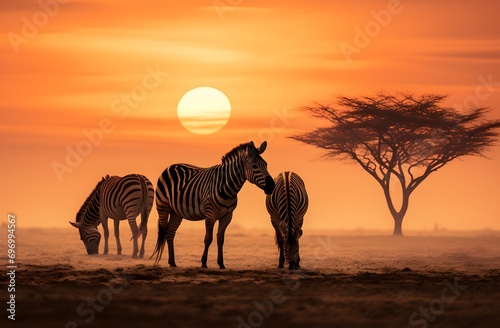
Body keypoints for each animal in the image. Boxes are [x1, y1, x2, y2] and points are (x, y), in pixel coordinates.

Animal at [152, 142, 278, 270]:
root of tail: (171, 166)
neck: (228, 189)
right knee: (163, 231)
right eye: (254, 166)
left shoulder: (227, 216)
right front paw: (203, 263)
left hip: (176, 212)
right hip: (163, 207)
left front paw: (221, 264)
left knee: (170, 232)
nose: (272, 186)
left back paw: (172, 262)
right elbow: (208, 239)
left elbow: (220, 239)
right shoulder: (210, 215)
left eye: (266, 165)